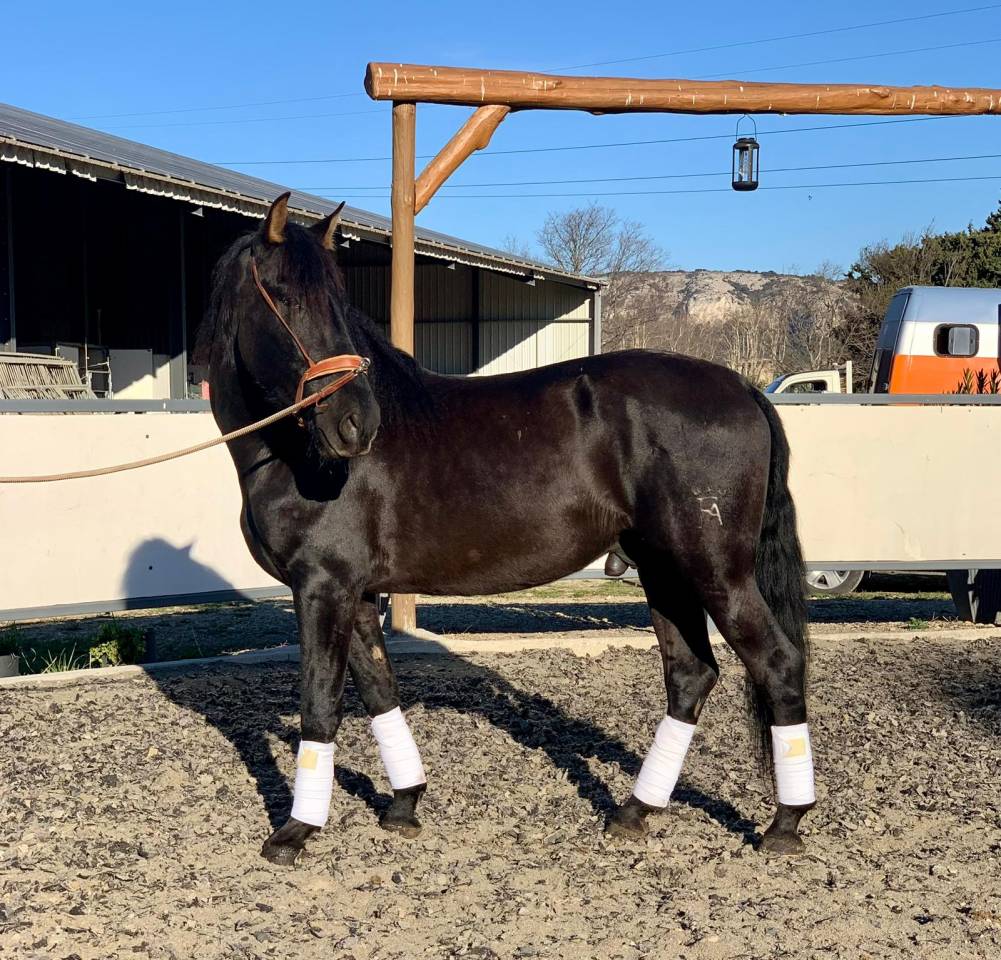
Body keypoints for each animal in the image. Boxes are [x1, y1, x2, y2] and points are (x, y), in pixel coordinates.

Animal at [198, 193, 815, 866]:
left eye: (337, 299)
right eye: (283, 296)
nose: (356, 423)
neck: (295, 453)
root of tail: (742, 386)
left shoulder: (321, 588)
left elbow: (319, 704)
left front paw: (294, 832)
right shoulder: (354, 593)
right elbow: (379, 689)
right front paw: (404, 805)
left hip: (716, 573)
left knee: (778, 663)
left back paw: (785, 823)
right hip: (666, 572)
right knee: (691, 675)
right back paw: (634, 811)